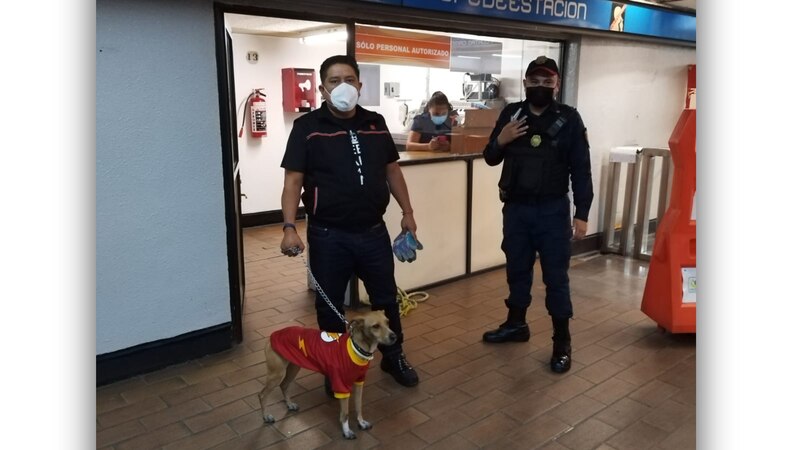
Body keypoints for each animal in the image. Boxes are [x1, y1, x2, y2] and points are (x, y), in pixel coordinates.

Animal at [260, 310, 396, 440]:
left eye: (388, 322)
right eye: (375, 326)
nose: (394, 336)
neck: (358, 347)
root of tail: (274, 335)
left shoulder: (359, 383)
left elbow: (359, 406)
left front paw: (361, 423)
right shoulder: (342, 387)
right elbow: (345, 414)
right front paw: (346, 432)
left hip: (293, 368)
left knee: (284, 385)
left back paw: (289, 404)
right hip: (277, 374)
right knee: (262, 395)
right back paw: (266, 416)